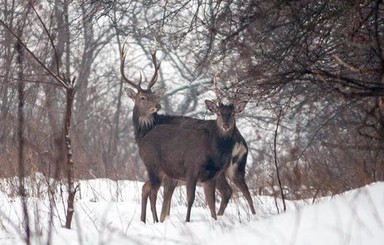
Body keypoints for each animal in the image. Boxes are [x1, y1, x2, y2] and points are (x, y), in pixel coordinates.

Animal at [121, 44, 255, 222]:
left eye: (154, 96)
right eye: (142, 97)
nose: (157, 106)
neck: (144, 131)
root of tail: (241, 142)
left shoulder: (173, 174)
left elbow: (165, 201)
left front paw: (160, 220)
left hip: (223, 169)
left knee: (228, 191)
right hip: (235, 168)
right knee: (240, 190)